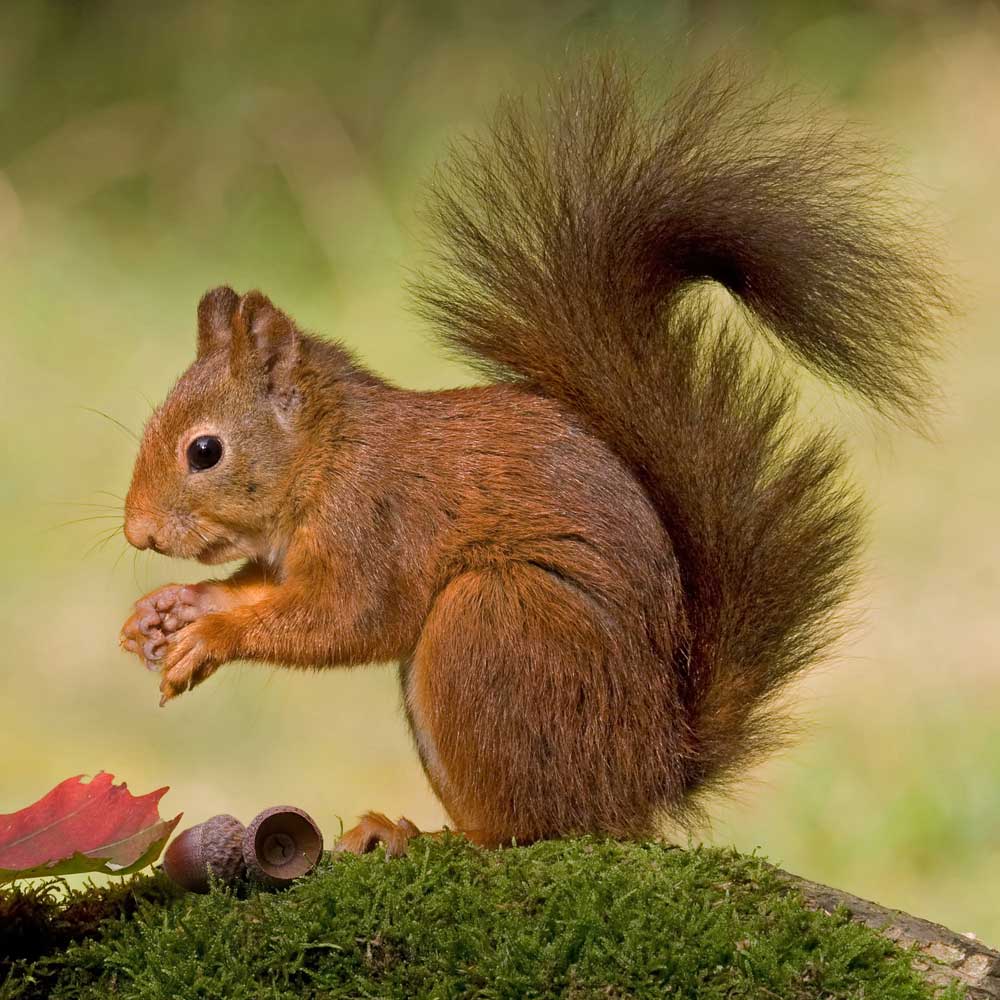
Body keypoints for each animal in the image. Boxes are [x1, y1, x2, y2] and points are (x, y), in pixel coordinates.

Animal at [117, 66, 944, 856]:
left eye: (204, 451)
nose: (137, 533)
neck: (328, 457)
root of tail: (646, 781)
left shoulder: (375, 522)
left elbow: (351, 619)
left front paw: (213, 635)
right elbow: (266, 590)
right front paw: (173, 610)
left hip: (495, 625)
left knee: (526, 827)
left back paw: (418, 836)